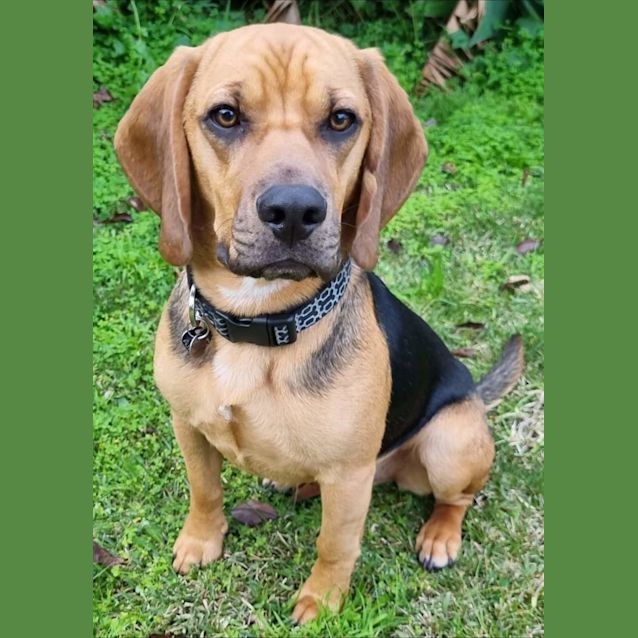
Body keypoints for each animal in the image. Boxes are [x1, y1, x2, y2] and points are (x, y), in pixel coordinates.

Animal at [115, 23, 524, 624]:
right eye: (225, 115)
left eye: (341, 120)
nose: (293, 212)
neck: (257, 320)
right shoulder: (187, 425)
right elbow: (204, 490)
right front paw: (201, 541)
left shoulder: (350, 474)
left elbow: (336, 542)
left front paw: (323, 602)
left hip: (449, 443)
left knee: (459, 497)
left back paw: (440, 536)